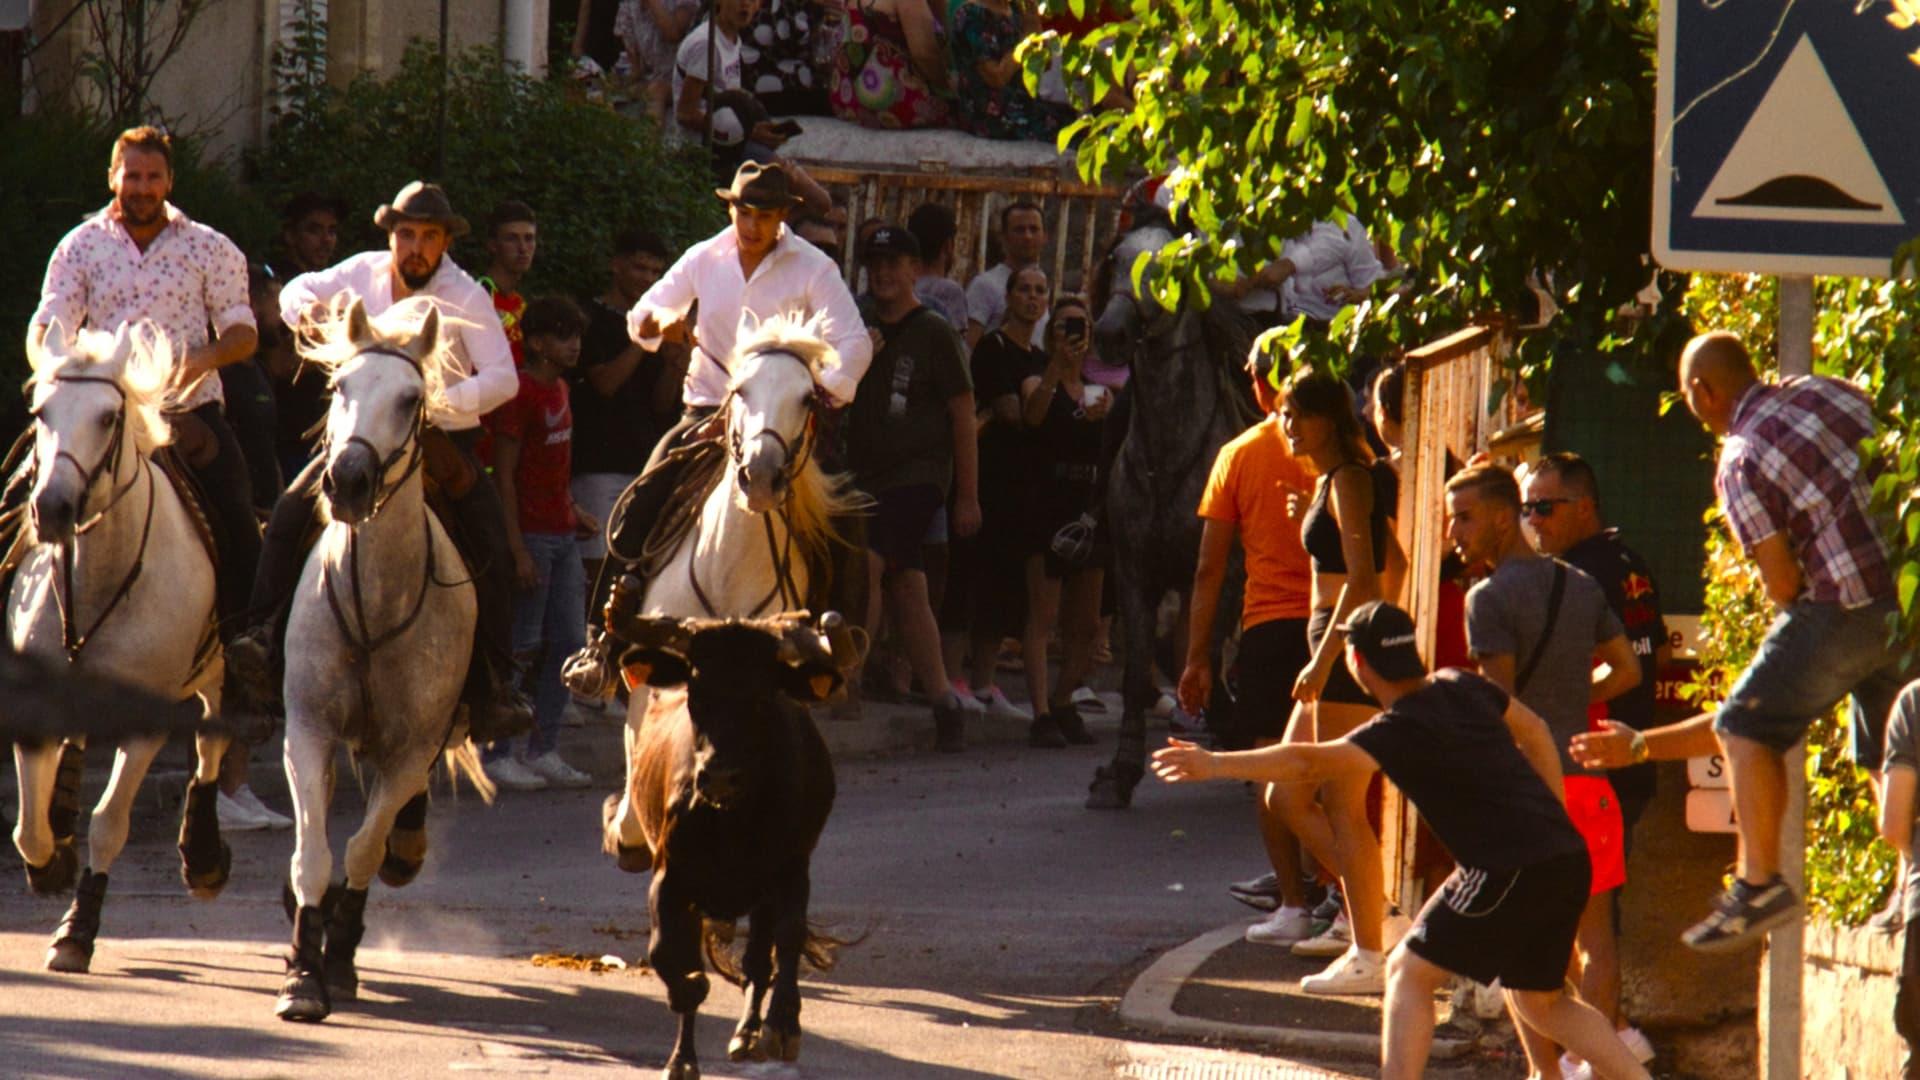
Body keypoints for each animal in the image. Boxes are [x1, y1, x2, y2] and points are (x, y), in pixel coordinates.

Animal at [10, 317, 232, 968]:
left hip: (218, 673)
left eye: (109, 417)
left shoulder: (147, 721)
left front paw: (75, 930)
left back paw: (203, 859)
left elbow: (109, 823)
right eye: (41, 411)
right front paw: (51, 861)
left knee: (212, 742)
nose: (52, 508)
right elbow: (27, 827)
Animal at [276, 294, 491, 1014]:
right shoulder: (308, 730)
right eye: (340, 387)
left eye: (410, 398)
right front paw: (302, 974)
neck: (375, 600)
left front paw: (337, 956)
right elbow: (313, 854)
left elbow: (364, 849)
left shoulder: (409, 750)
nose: (347, 480)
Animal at [606, 588, 856, 1076]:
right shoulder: (671, 878)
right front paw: (686, 1019)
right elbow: (667, 953)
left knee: (759, 960)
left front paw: (782, 1026)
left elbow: (788, 937)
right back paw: (693, 1051)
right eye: (696, 693)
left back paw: (748, 1033)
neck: (733, 818)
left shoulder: (791, 871)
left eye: (762, 697)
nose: (719, 777)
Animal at [1082, 220, 1259, 807]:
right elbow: (1142, 671)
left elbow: (1203, 665)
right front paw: (1119, 773)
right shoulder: (1136, 575)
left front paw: (1234, 729)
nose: (1111, 334)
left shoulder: (1225, 576)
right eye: (1116, 259)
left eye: (1172, 267)